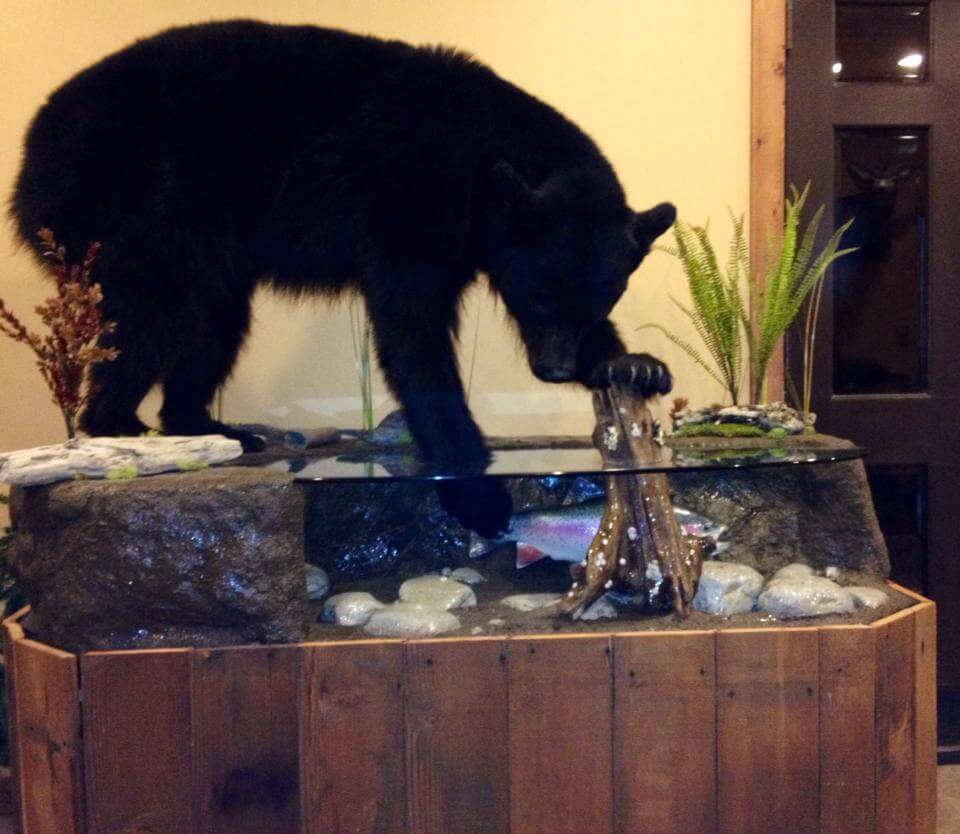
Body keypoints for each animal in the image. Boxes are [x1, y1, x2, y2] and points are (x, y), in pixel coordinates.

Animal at [10, 20, 675, 536]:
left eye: (597, 304)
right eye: (536, 300)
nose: (555, 370)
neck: (481, 162)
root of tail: (28, 156)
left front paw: (633, 364)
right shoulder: (411, 204)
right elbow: (412, 333)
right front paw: (477, 492)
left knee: (213, 324)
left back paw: (212, 426)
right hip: (128, 205)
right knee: (152, 316)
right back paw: (123, 427)